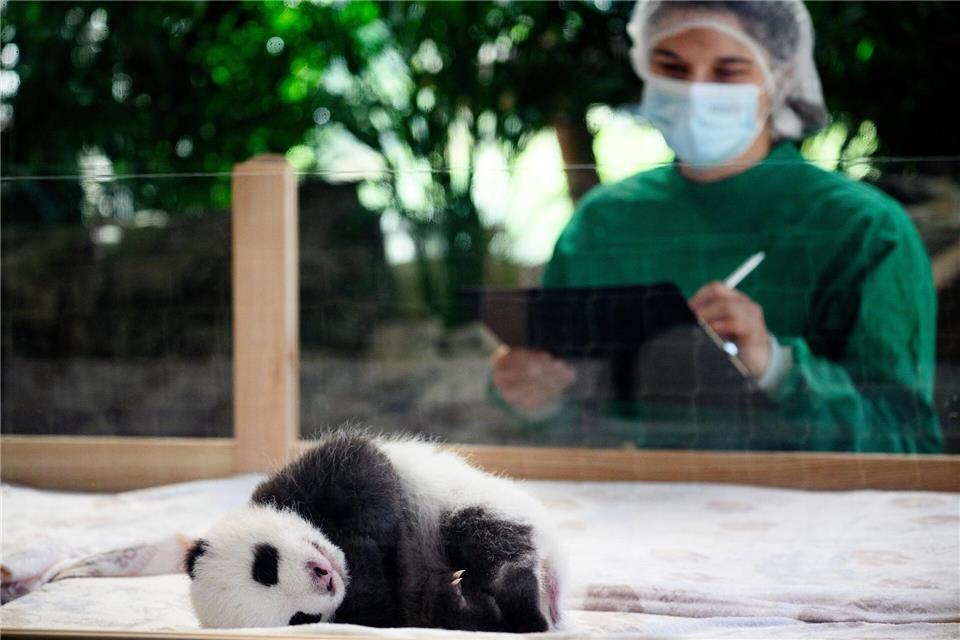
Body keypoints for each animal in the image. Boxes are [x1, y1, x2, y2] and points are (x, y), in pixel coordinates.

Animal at [185, 433, 565, 632]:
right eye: (300, 619)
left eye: (266, 567)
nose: (325, 580)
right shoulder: (372, 613)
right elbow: (384, 608)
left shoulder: (305, 477)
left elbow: (364, 472)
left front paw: (363, 541)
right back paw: (473, 598)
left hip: (475, 505)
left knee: (483, 537)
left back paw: (519, 590)